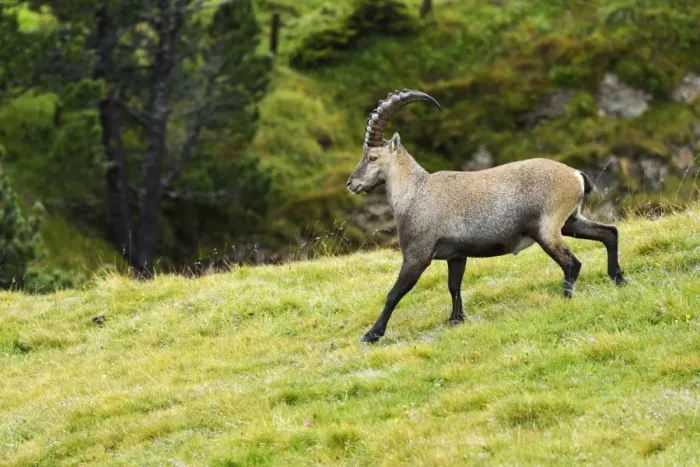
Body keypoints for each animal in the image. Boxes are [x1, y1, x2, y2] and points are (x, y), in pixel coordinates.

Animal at [347, 89, 627, 343]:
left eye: (372, 157)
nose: (352, 183)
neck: (415, 192)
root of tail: (575, 175)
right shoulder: (456, 255)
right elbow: (454, 286)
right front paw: (456, 320)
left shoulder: (417, 254)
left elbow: (395, 293)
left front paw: (372, 334)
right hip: (569, 221)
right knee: (609, 233)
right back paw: (619, 278)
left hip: (547, 229)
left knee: (572, 263)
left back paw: (566, 298)